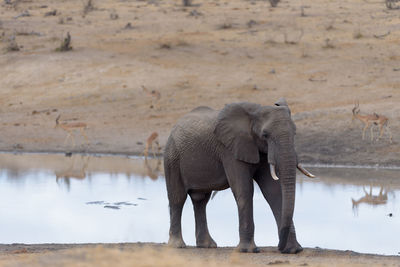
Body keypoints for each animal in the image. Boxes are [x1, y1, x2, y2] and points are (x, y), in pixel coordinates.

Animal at [163, 99, 316, 254]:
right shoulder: (229, 149)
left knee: (200, 201)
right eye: (265, 135)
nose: (279, 247)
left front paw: (293, 250)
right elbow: (244, 189)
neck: (254, 113)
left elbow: (273, 192)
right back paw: (177, 245)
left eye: (295, 133)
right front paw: (248, 250)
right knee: (178, 198)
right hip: (172, 157)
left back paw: (207, 245)